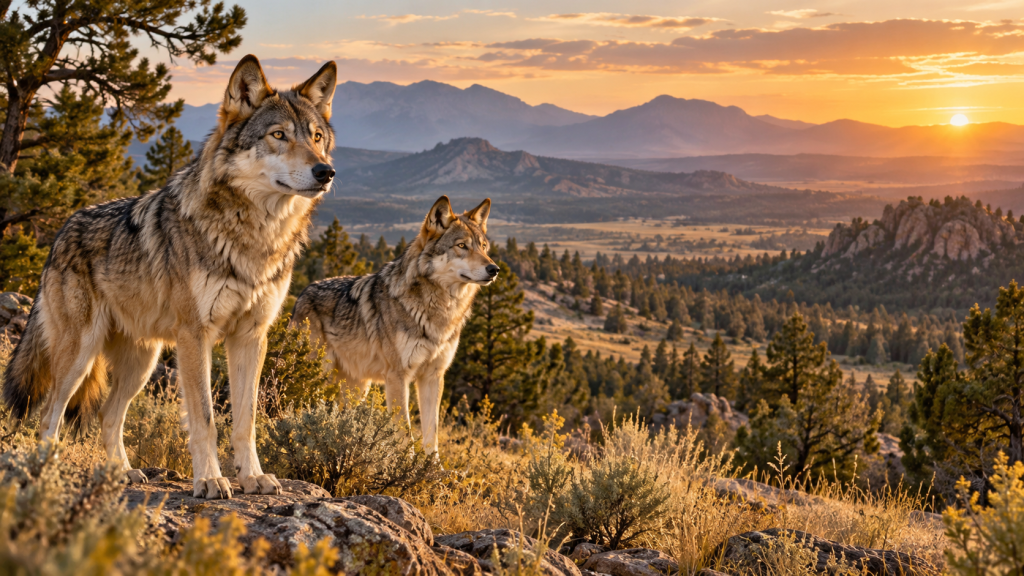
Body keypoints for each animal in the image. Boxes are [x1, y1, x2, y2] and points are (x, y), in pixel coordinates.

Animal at [2, 55, 338, 499]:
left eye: (317, 137)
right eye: (278, 135)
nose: (325, 171)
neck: (254, 234)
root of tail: (61, 232)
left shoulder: (250, 336)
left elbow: (246, 420)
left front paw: (252, 477)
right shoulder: (196, 335)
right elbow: (205, 420)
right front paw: (210, 480)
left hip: (142, 362)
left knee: (108, 415)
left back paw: (122, 473)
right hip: (80, 353)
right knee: (49, 414)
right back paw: (47, 471)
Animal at [292, 196, 497, 454]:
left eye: (484, 247)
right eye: (461, 246)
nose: (494, 269)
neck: (438, 310)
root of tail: (301, 294)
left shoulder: (433, 377)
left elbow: (432, 435)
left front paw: (430, 466)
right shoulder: (398, 376)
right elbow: (405, 435)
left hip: (357, 388)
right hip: (316, 377)